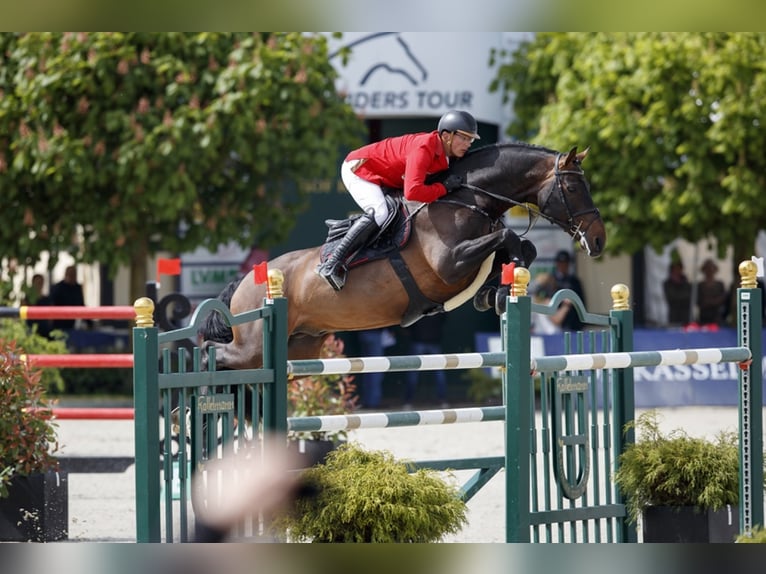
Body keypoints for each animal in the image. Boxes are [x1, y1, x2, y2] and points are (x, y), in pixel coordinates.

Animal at [201, 142, 608, 372]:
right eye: (574, 187)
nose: (599, 240)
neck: (466, 198)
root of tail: (249, 279)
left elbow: (521, 248)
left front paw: (493, 294)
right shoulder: (450, 262)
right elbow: (508, 237)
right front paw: (498, 287)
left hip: (300, 345)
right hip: (253, 346)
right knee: (216, 355)